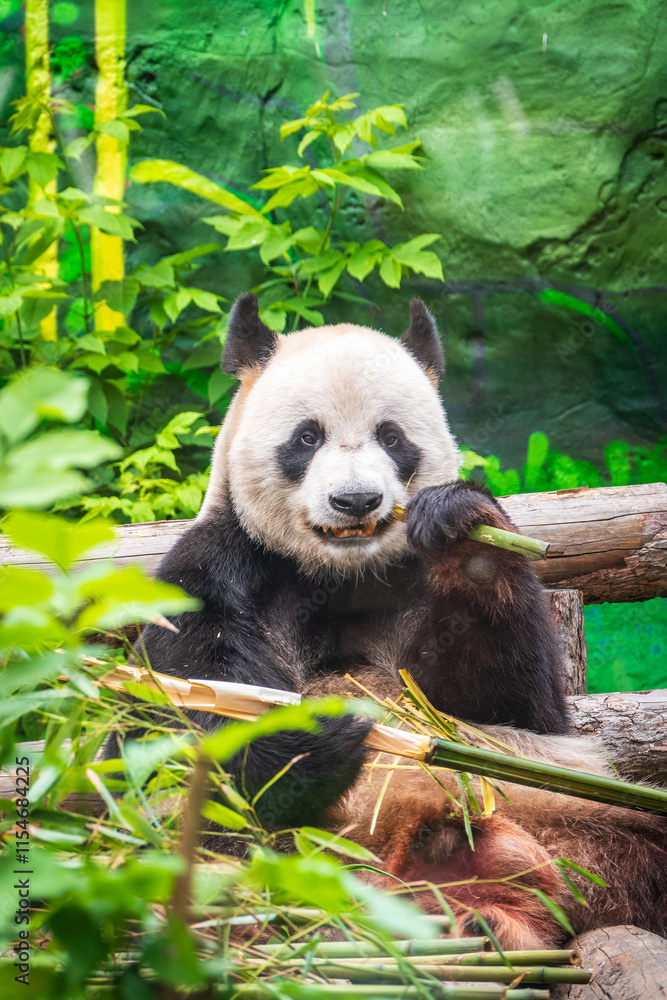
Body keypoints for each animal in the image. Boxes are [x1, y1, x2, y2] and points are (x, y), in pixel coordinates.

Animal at [132, 292, 569, 830]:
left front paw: (464, 534)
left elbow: (511, 708)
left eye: (392, 437)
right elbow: (180, 712)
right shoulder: (216, 571)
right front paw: (326, 735)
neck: (338, 574)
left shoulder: (413, 580)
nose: (356, 500)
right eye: (306, 438)